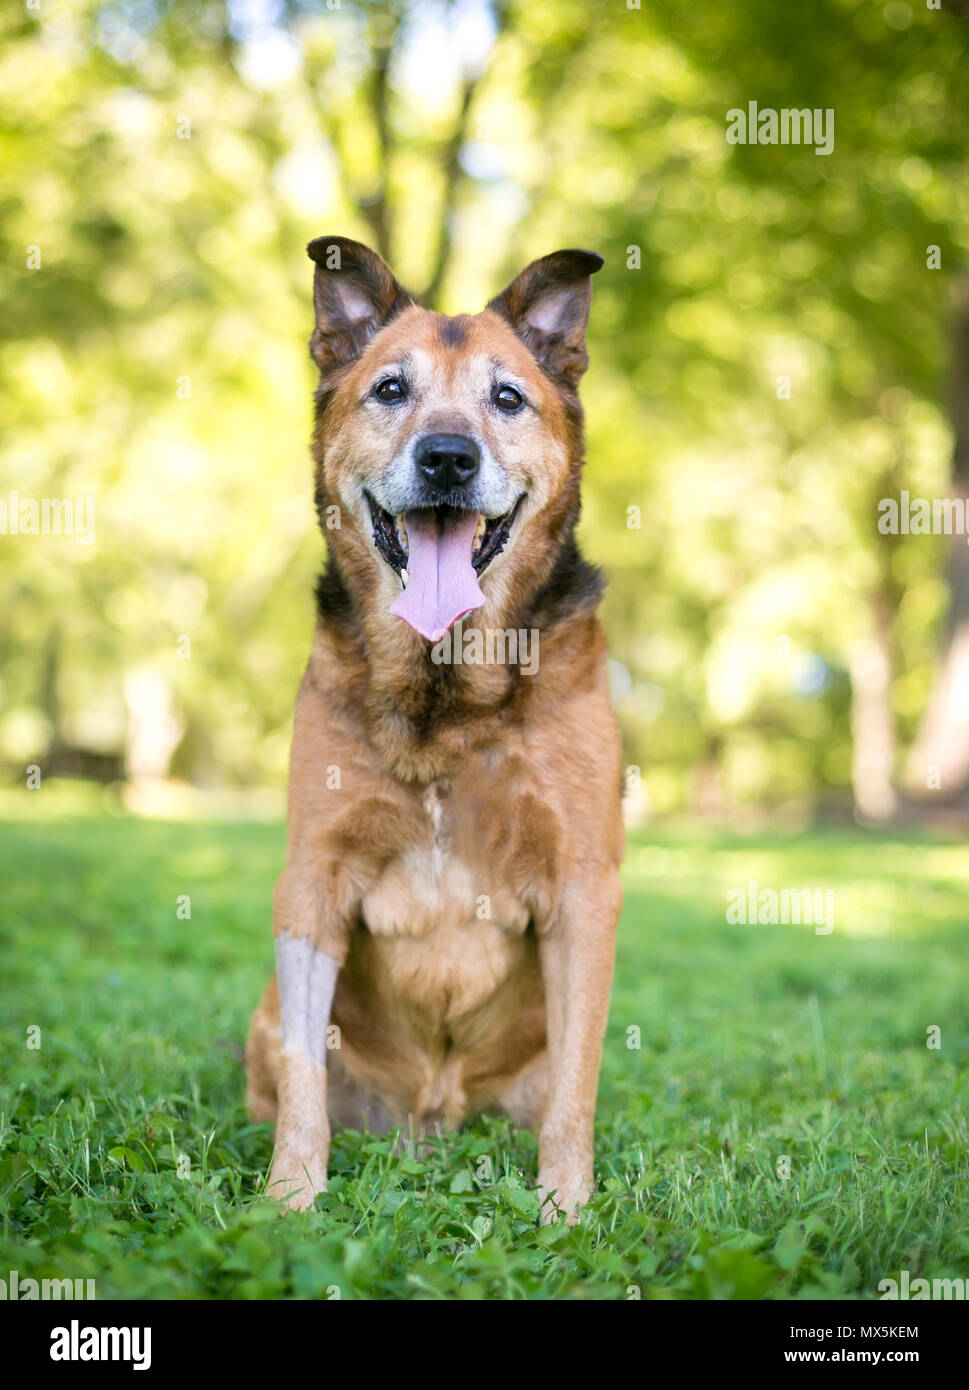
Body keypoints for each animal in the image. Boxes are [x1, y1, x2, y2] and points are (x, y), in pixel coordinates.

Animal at [246, 233, 622, 1223]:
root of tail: (436, 1112)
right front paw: (290, 1196)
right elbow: (304, 1083)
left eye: (507, 397)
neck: (448, 697)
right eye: (389, 388)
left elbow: (576, 1089)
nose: (447, 458)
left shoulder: (582, 887)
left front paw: (565, 1207)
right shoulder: (313, 878)